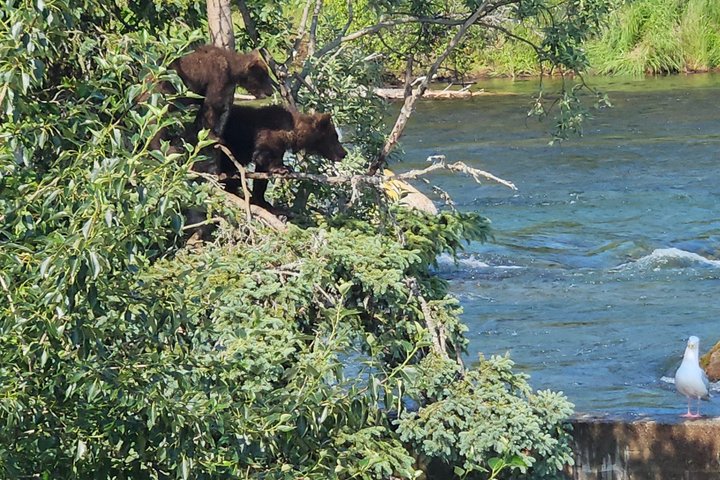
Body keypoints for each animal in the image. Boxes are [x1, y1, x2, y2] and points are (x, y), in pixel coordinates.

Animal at [216, 104, 347, 208]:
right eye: (335, 136)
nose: (344, 153)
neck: (293, 134)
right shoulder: (271, 132)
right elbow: (263, 155)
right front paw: (282, 168)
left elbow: (261, 175)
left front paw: (261, 200)